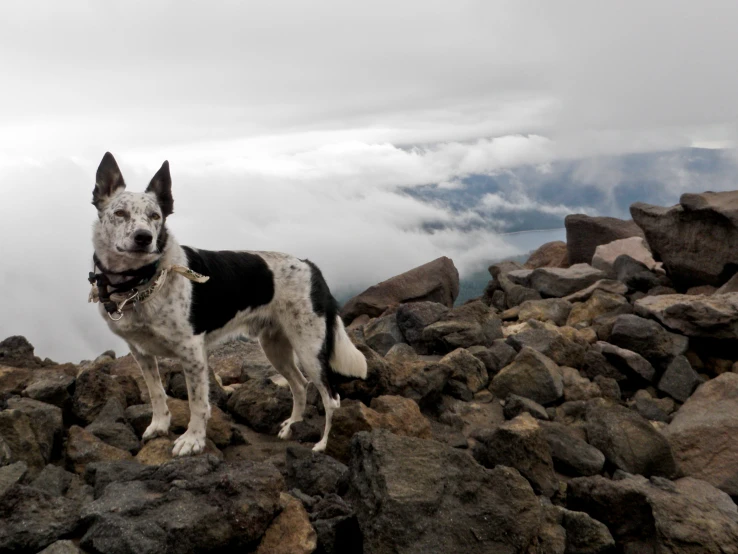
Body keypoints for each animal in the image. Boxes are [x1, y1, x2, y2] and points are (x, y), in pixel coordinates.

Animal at [89, 153, 366, 454]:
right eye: (120, 213)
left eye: (155, 216)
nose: (144, 238)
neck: (142, 281)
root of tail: (311, 266)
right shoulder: (141, 352)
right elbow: (156, 392)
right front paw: (160, 425)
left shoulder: (192, 352)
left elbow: (198, 403)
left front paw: (193, 440)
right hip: (274, 345)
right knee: (300, 385)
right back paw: (292, 426)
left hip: (309, 347)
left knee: (331, 397)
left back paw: (323, 443)